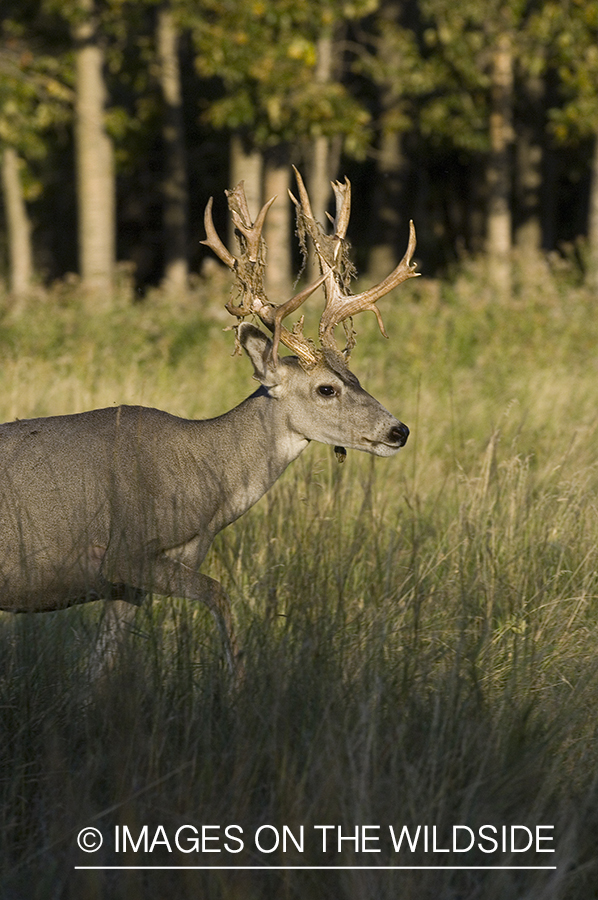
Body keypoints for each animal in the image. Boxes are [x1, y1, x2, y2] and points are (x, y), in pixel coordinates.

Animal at [0, 169, 420, 668]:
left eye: (356, 376)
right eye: (326, 388)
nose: (399, 431)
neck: (205, 481)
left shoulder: (127, 585)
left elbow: (97, 669)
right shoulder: (124, 551)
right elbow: (221, 597)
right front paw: (235, 678)